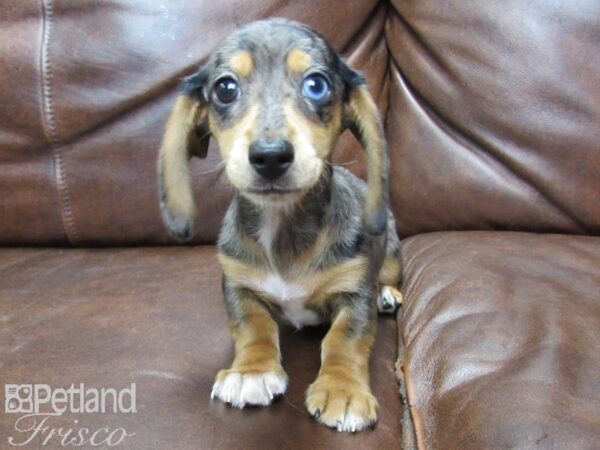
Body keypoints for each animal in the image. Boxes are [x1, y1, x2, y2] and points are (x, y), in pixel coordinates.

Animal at [159, 18, 404, 432]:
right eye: (225, 88)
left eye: (317, 84)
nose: (270, 156)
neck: (282, 229)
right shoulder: (238, 286)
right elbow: (253, 327)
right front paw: (251, 372)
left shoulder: (356, 292)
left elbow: (344, 340)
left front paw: (343, 390)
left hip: (390, 253)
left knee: (387, 276)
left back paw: (388, 293)